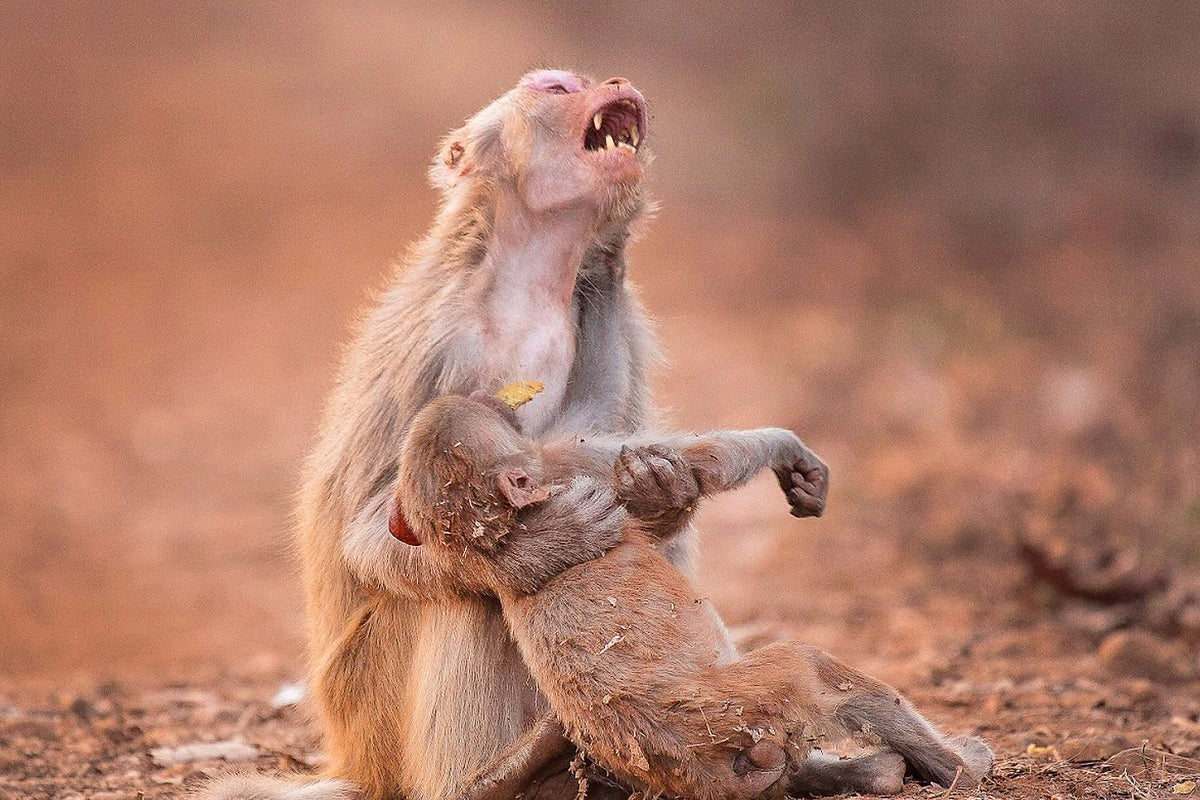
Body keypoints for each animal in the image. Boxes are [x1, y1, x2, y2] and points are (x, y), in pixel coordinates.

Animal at [392, 392, 994, 800]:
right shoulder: (570, 471)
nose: (495, 397)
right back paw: (958, 766)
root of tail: (702, 764)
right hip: (742, 706)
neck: (501, 532)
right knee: (808, 666)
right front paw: (786, 447)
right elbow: (707, 462)